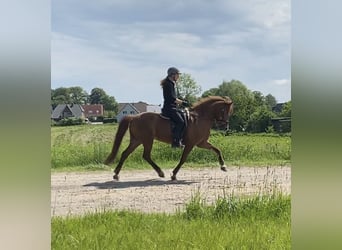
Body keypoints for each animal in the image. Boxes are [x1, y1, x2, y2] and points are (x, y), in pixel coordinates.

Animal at [104, 95, 232, 180]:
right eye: (223, 110)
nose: (225, 126)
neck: (200, 118)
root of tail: (134, 117)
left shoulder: (202, 143)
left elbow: (217, 150)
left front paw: (223, 166)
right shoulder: (191, 144)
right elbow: (183, 159)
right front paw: (174, 174)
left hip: (137, 140)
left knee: (125, 153)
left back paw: (116, 174)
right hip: (147, 140)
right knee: (146, 155)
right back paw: (160, 172)